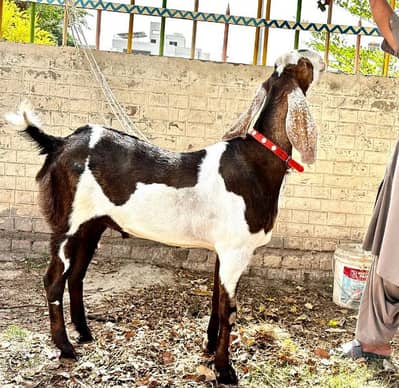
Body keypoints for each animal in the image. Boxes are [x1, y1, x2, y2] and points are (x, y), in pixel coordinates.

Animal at [5, 49, 324, 384]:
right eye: (304, 61)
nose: (321, 58)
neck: (256, 161)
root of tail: (60, 142)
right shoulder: (236, 251)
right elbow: (229, 310)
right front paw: (224, 369)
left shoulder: (222, 250)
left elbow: (216, 300)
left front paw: (209, 348)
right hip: (67, 224)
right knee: (54, 280)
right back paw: (65, 347)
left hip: (91, 226)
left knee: (76, 276)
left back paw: (84, 332)